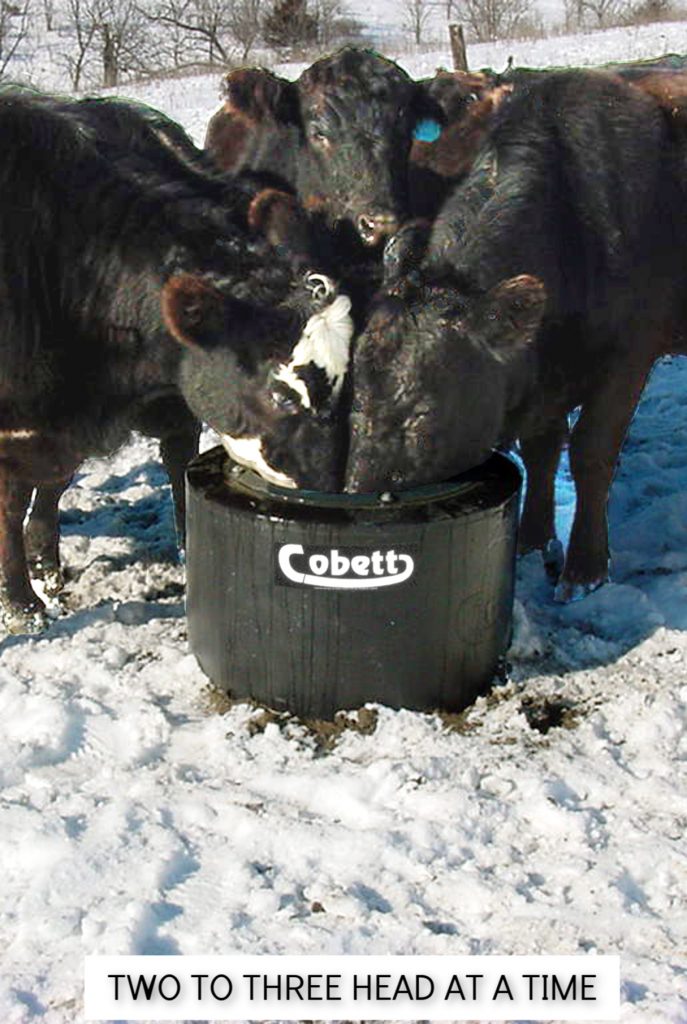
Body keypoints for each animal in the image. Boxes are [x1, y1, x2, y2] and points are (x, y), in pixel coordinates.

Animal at [0, 88, 353, 634]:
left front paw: (48, 569)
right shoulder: (19, 425)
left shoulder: (152, 401)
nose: (328, 493)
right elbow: (11, 503)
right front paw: (22, 605)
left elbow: (164, 466)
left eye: (345, 379)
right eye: (280, 395)